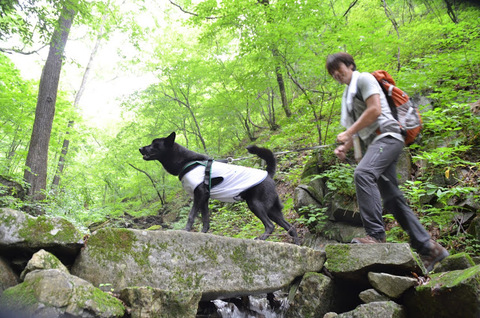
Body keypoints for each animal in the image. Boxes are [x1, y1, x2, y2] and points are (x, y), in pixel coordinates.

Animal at [137, 131, 298, 243]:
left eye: (154, 144)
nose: (140, 148)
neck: (187, 162)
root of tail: (268, 174)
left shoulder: (199, 194)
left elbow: (191, 215)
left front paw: (186, 230)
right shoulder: (204, 198)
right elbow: (205, 219)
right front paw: (203, 233)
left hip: (255, 204)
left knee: (270, 226)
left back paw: (262, 238)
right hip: (272, 210)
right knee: (291, 228)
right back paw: (297, 244)